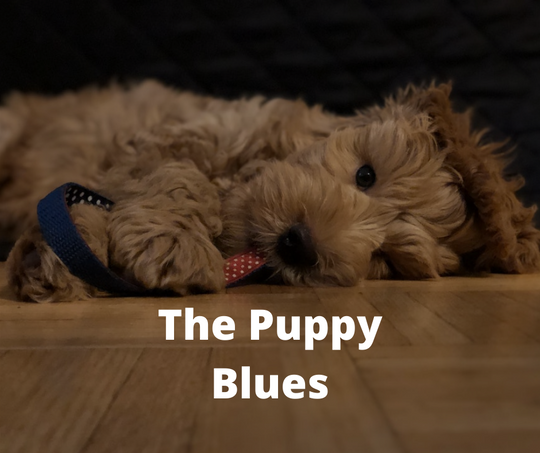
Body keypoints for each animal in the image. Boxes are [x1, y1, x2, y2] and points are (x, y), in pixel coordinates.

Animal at [0, 80, 536, 304]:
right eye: (366, 175)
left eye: (387, 259)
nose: (298, 245)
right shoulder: (176, 135)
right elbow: (180, 173)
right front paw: (172, 242)